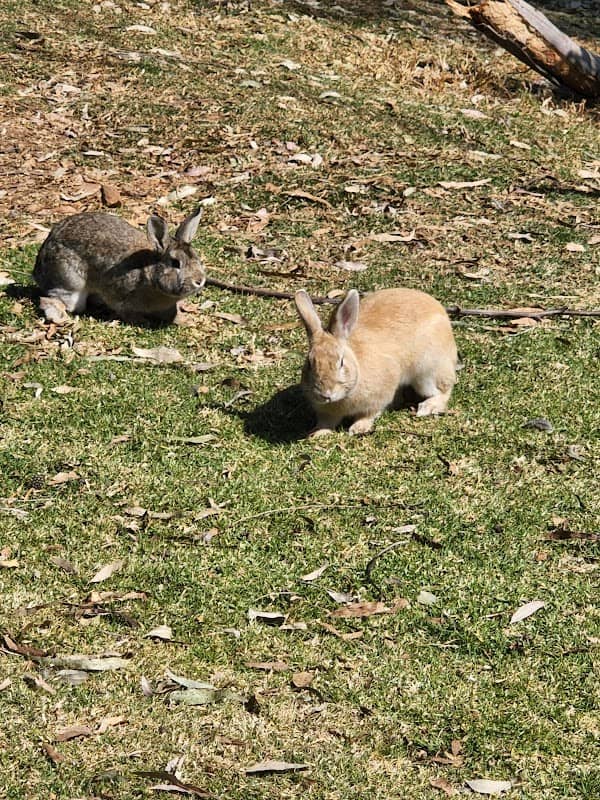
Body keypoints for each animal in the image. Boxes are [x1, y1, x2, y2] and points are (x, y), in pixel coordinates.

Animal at [33, 208, 206, 324]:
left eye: (197, 258)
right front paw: (142, 321)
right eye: (175, 263)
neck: (149, 274)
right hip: (71, 283)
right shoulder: (119, 295)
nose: (200, 280)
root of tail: (38, 269)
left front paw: (184, 320)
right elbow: (124, 310)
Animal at [294, 287, 458, 436]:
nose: (325, 394)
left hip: (427, 373)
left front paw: (358, 428)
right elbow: (326, 422)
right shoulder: (326, 413)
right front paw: (316, 433)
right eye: (309, 364)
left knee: (444, 389)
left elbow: (370, 413)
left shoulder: (379, 396)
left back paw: (428, 407)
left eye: (341, 362)